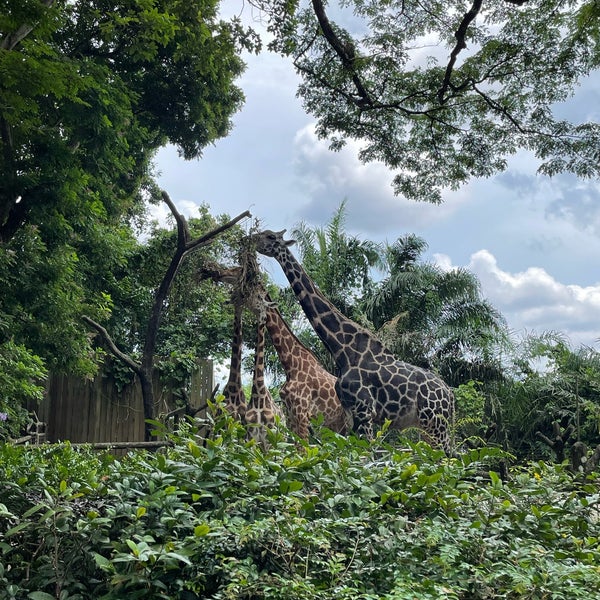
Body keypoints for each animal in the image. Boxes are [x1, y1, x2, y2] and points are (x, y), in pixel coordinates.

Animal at [250, 230, 454, 454]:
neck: (341, 349)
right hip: (428, 425)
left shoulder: (364, 410)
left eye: (270, 236)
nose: (250, 239)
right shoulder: (350, 413)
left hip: (435, 421)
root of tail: (450, 395)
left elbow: (365, 454)